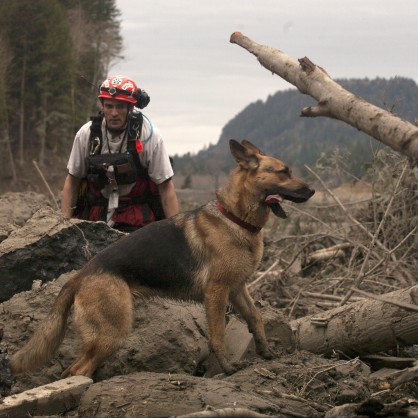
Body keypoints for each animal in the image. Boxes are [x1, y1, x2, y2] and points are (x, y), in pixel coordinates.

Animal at [9, 140, 314, 378]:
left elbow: (256, 318)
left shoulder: (237, 289)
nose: (311, 190)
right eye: (284, 172)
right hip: (112, 333)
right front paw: (227, 368)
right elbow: (218, 335)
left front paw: (266, 351)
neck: (235, 218)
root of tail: (80, 276)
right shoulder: (217, 293)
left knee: (72, 369)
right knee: (78, 369)